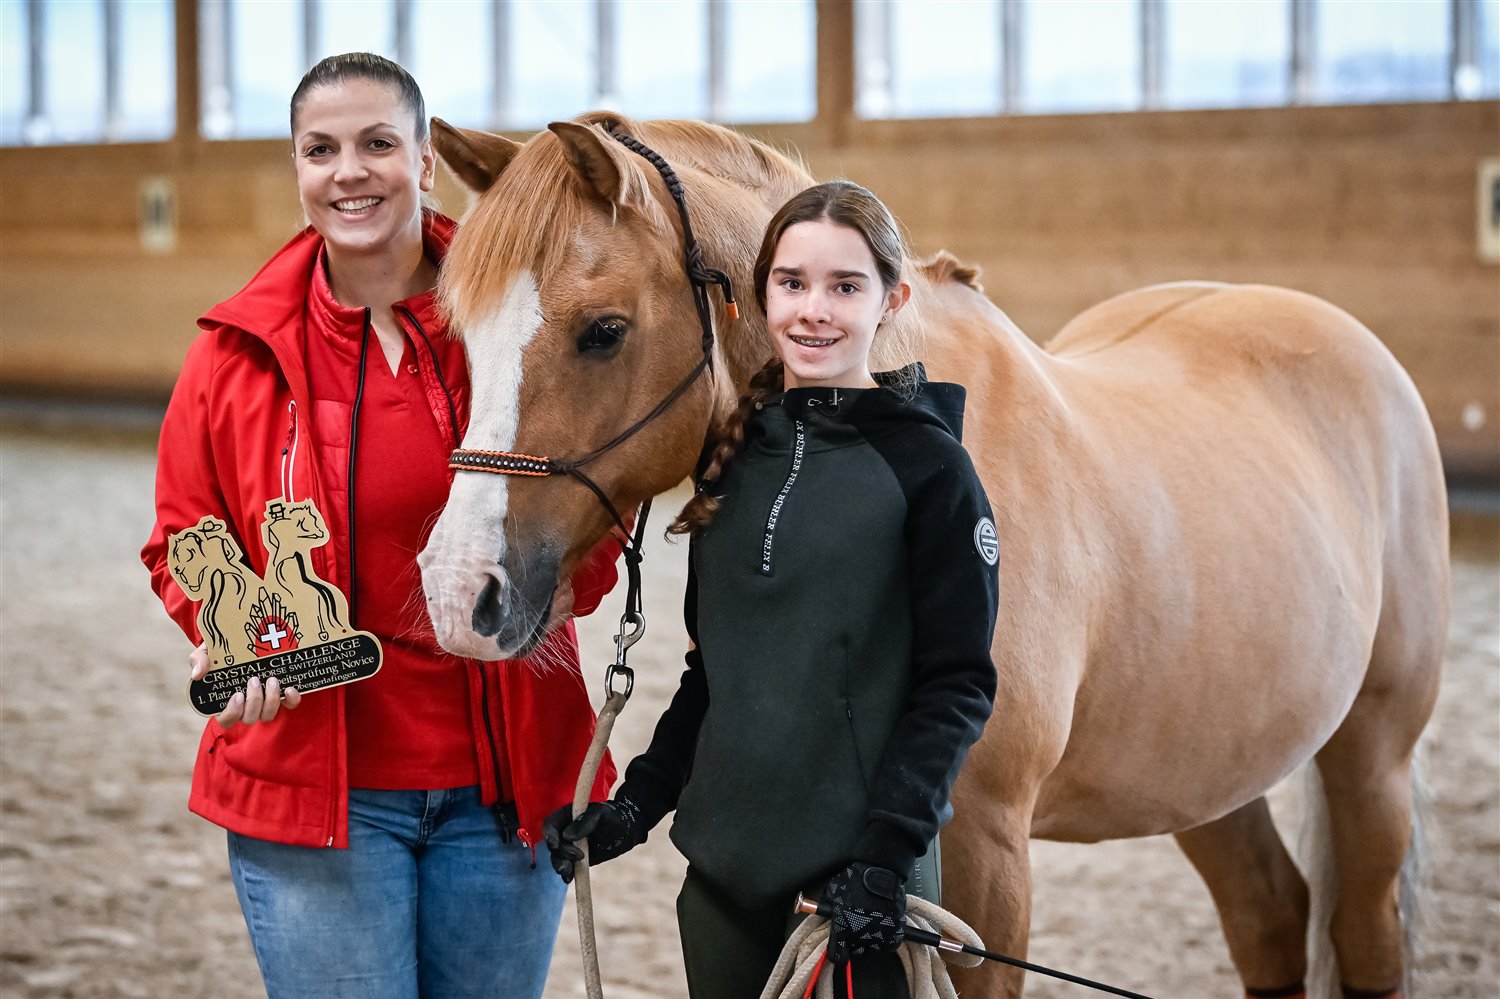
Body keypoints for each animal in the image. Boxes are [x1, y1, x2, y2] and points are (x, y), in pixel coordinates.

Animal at [416, 112, 1449, 999]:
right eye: (462, 333)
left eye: (604, 331)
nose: (461, 593)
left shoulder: (982, 865)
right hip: (1208, 770)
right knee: (1272, 913)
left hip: (1373, 760)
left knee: (1363, 929)